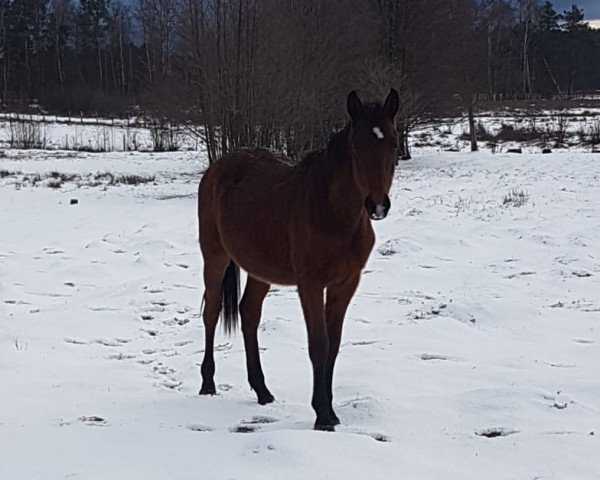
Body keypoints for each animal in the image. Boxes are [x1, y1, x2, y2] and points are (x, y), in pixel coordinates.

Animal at [199, 90, 400, 432]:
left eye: (394, 145)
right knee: (211, 313)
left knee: (249, 313)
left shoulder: (345, 283)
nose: (377, 206)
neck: (331, 212)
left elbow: (333, 345)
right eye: (356, 146)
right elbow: (318, 344)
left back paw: (262, 391)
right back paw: (207, 384)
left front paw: (330, 411)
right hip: (214, 257)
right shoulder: (310, 284)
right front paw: (322, 416)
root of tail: (217, 169)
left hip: (260, 269)